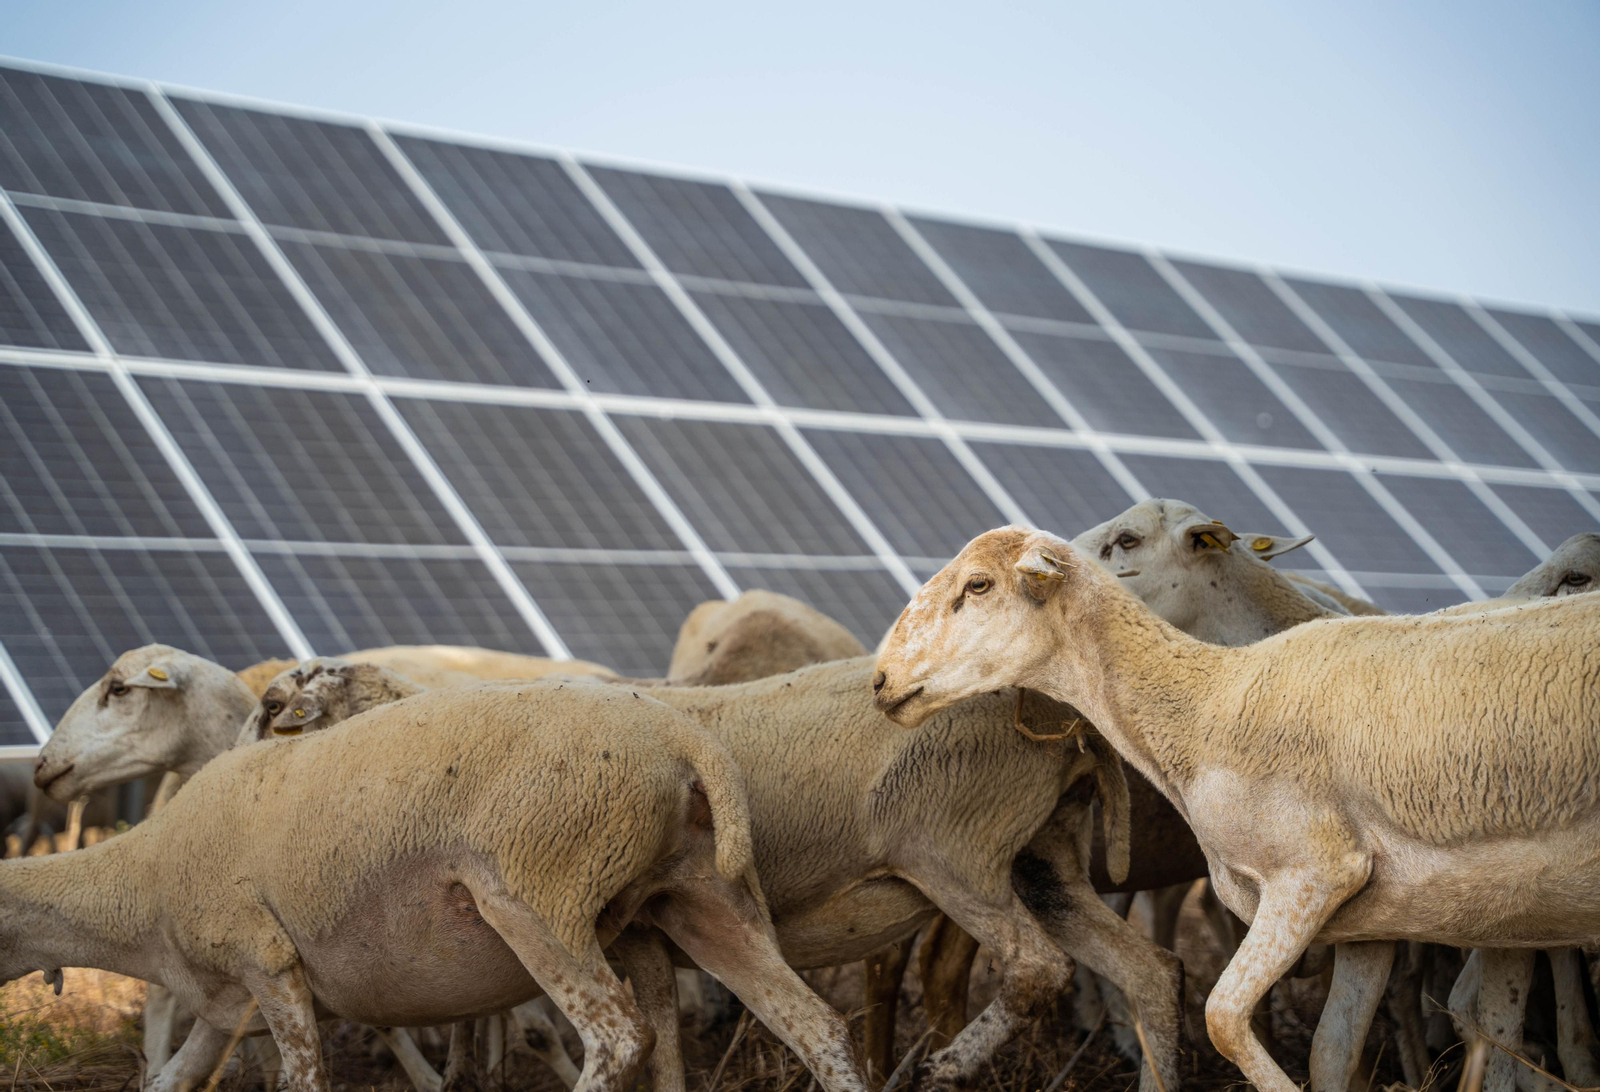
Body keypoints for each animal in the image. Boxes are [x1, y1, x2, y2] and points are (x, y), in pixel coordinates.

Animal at [2, 679, 867, 1092]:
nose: (43, 771)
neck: (138, 885)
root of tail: (688, 745)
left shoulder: (268, 965)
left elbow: (303, 1076)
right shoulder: (223, 1010)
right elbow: (171, 1080)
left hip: (539, 893)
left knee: (620, 1034)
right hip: (702, 897)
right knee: (818, 1025)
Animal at [873, 525, 1600, 1092]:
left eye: (977, 586)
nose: (880, 681)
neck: (1205, 706)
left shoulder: (1313, 873)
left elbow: (1223, 1018)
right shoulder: (1370, 924)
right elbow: (1331, 1053)